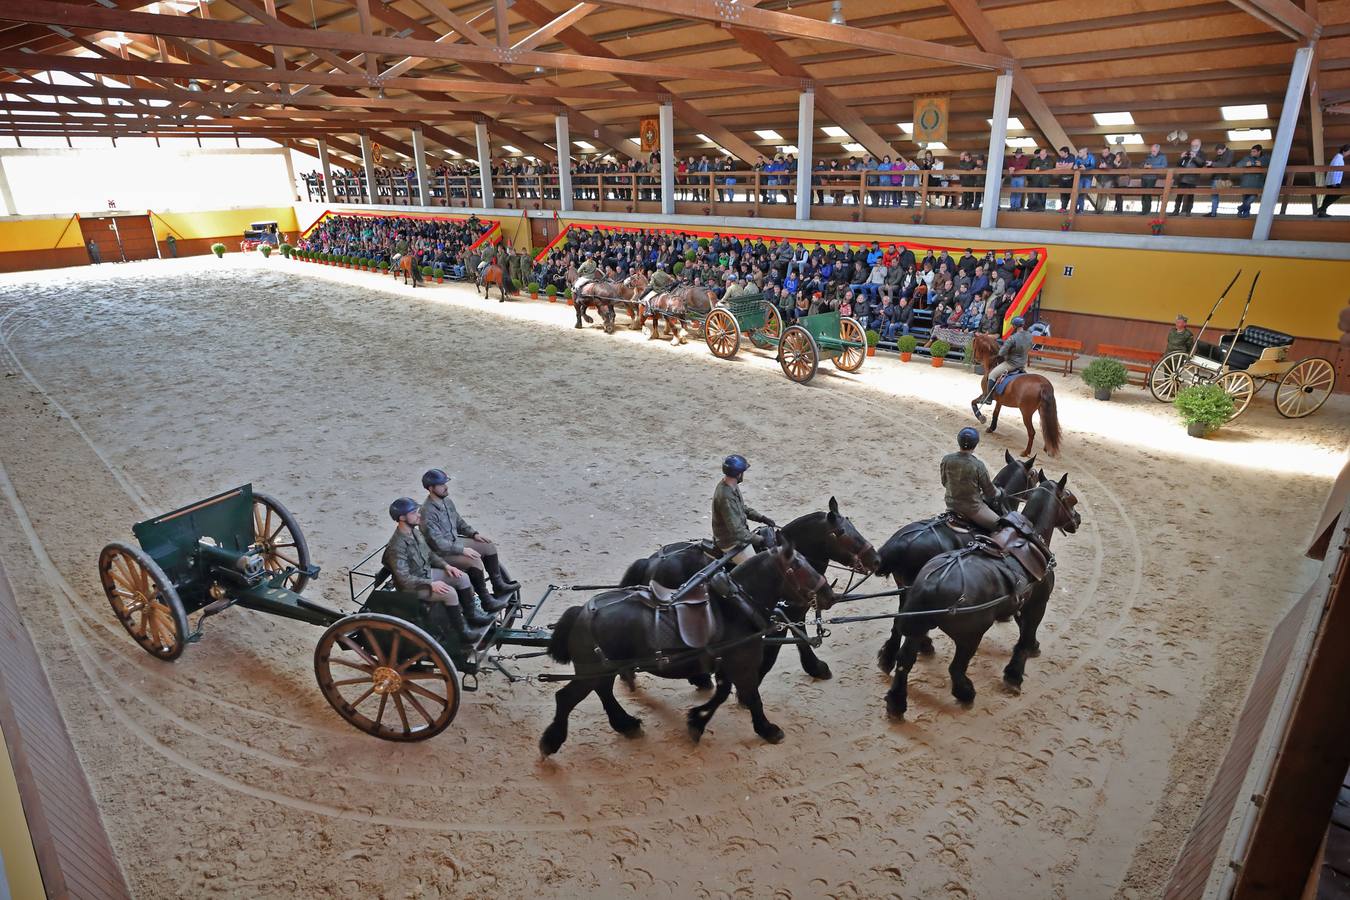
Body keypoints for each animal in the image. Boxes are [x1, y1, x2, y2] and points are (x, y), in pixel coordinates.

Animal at [537, 539, 831, 755]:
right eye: (800, 567)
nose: (829, 594)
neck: (735, 608)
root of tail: (581, 612)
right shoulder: (743, 665)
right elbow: (753, 698)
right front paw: (768, 729)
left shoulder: (728, 665)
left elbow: (723, 694)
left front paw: (697, 721)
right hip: (592, 670)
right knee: (566, 698)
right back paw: (551, 741)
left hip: (603, 669)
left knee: (603, 692)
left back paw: (626, 725)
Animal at [618, 493, 880, 682]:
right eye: (841, 532)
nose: (876, 560)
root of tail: (651, 561)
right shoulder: (780, 619)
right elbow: (786, 647)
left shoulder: (794, 614)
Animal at [880, 472, 1080, 717]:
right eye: (1069, 499)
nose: (1078, 519)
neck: (1028, 540)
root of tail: (933, 583)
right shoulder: (1037, 604)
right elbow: (1024, 637)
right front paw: (1015, 672)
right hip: (969, 636)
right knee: (955, 668)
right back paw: (965, 692)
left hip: (912, 611)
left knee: (904, 655)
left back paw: (895, 694)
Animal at [972, 330, 1063, 458]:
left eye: (974, 343)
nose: (974, 359)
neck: (993, 365)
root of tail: (1043, 384)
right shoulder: (999, 401)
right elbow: (995, 413)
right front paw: (991, 428)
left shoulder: (985, 396)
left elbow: (973, 403)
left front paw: (981, 418)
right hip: (1042, 410)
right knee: (1046, 427)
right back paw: (1047, 448)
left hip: (1026, 413)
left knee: (1032, 432)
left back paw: (1025, 452)